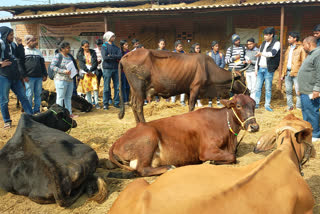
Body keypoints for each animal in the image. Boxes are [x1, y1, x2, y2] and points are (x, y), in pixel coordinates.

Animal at [107, 113, 316, 214]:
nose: (254, 126)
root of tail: (116, 142)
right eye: (311, 130)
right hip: (148, 138)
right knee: (142, 168)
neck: (283, 156)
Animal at [110, 94, 260, 176]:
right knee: (141, 169)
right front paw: (211, 161)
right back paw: (169, 167)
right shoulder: (206, 151)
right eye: (238, 106)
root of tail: (118, 140)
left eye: (254, 105)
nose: (254, 127)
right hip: (149, 136)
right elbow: (232, 156)